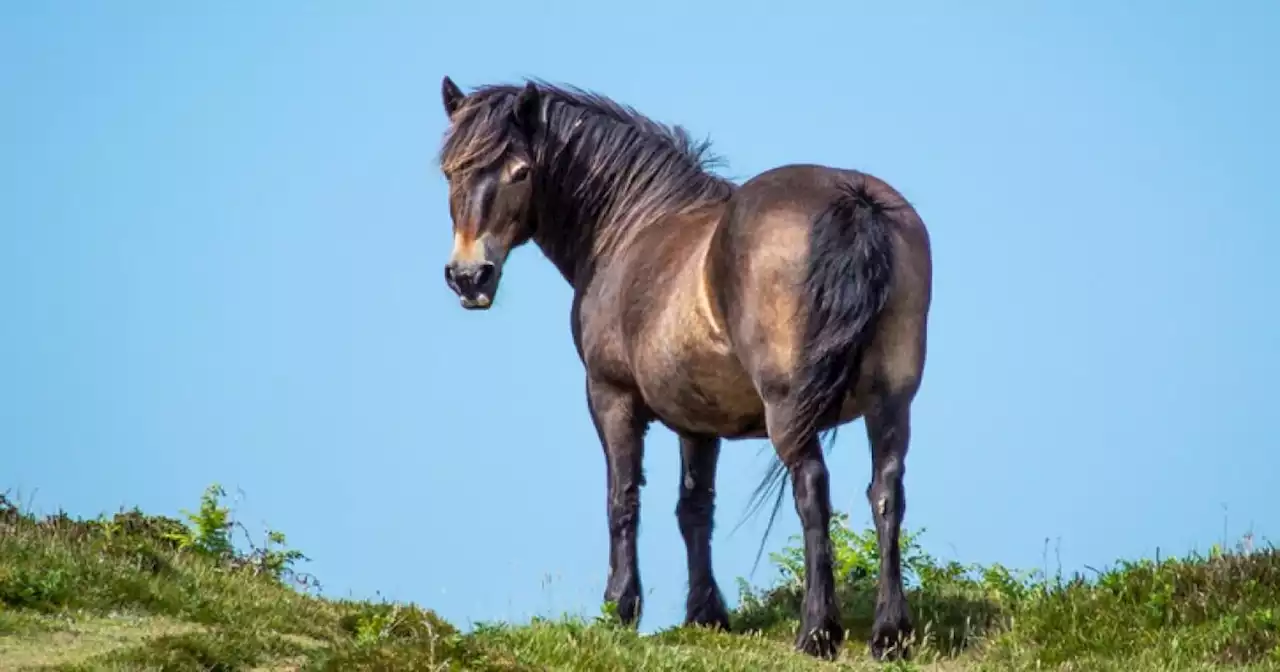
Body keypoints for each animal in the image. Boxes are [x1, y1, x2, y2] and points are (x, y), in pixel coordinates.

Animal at [437, 75, 931, 655]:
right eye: (450, 170)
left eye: (520, 171)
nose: (469, 276)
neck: (630, 225)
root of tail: (852, 200)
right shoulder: (698, 422)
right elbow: (694, 509)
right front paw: (705, 613)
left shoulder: (611, 396)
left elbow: (623, 497)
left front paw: (620, 607)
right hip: (891, 404)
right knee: (887, 493)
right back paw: (889, 633)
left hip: (790, 411)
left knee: (812, 489)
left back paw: (816, 631)